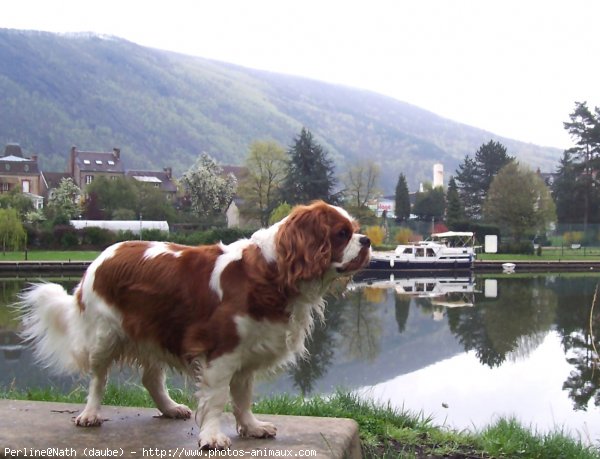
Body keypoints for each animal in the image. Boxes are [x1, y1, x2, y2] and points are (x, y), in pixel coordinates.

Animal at [17, 200, 370, 450]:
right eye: (342, 233)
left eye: (356, 229)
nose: (366, 240)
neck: (273, 271)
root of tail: (105, 253)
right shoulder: (221, 352)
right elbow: (216, 399)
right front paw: (212, 437)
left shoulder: (247, 353)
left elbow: (243, 397)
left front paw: (252, 427)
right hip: (105, 336)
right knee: (98, 378)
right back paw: (90, 413)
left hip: (154, 330)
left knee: (151, 378)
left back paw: (170, 408)